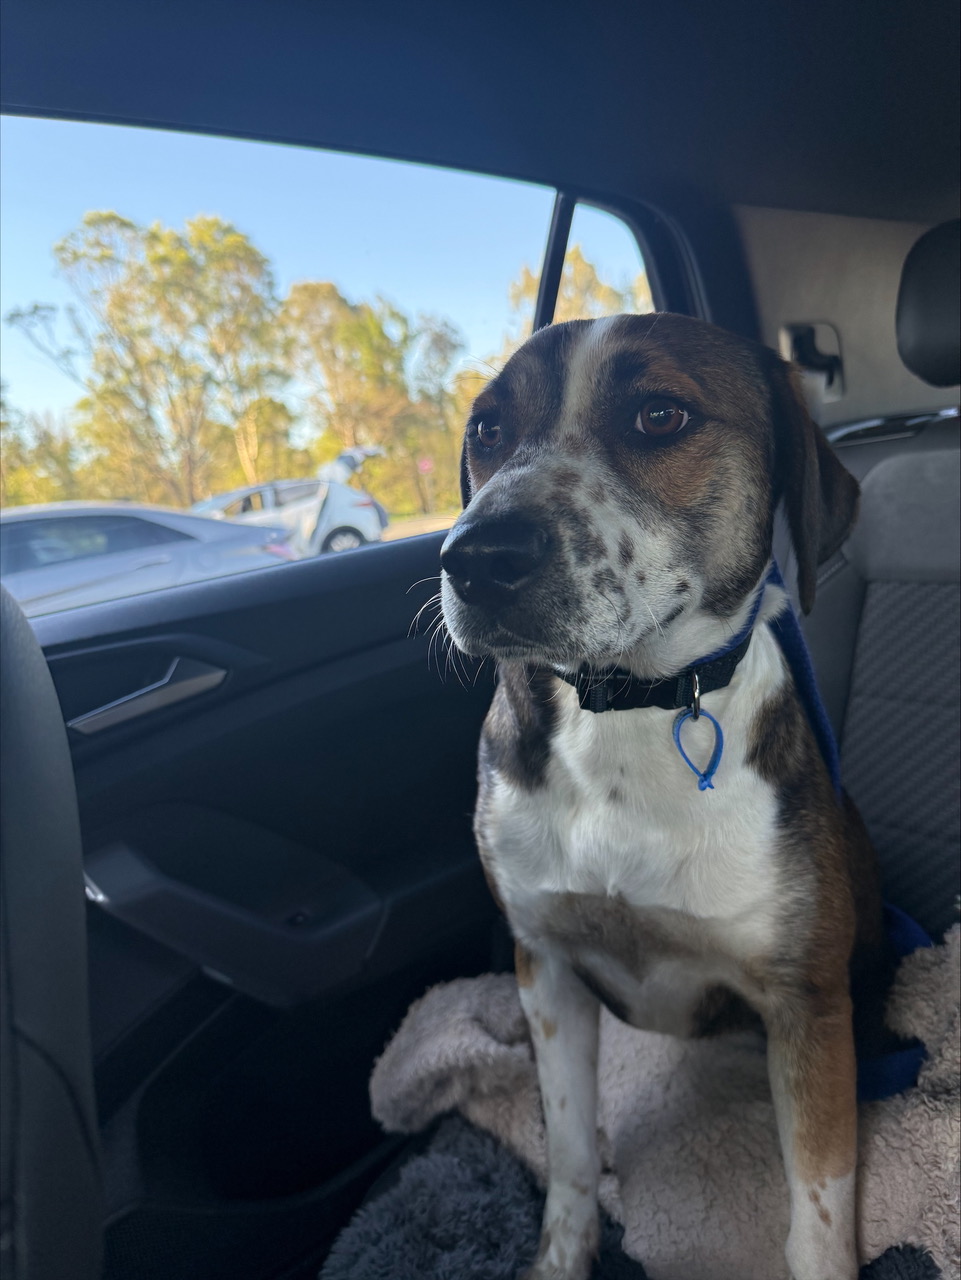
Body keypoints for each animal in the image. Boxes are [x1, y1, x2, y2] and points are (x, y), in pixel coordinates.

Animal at [438, 313, 886, 1280]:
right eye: (486, 430)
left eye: (658, 415)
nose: (475, 558)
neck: (624, 710)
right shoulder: (544, 966)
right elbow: (568, 1147)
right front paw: (561, 1255)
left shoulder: (807, 1001)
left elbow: (819, 1204)